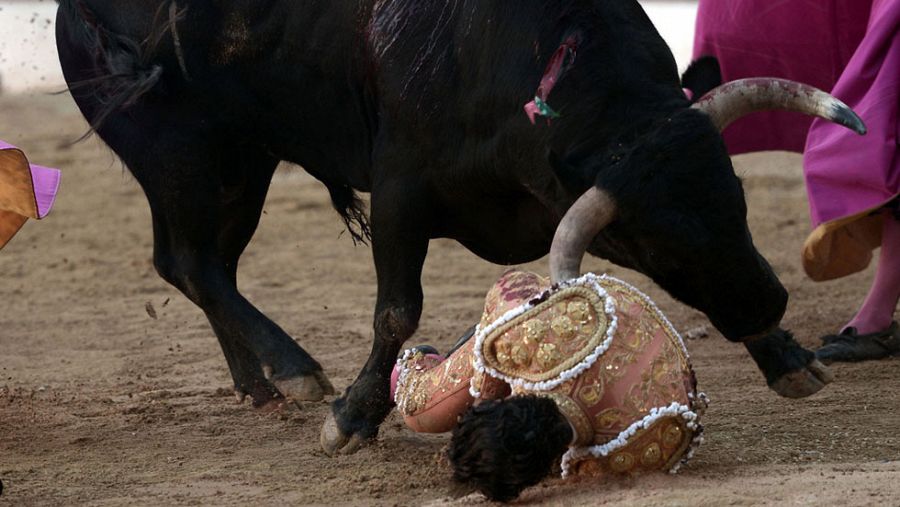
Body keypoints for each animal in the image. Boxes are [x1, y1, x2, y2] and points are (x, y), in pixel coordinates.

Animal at [54, 0, 856, 452]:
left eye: (736, 198)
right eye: (648, 240)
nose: (768, 304)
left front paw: (787, 357)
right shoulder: (401, 192)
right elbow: (396, 311)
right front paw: (352, 418)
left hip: (242, 162)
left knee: (199, 262)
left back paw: (259, 382)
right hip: (178, 151)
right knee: (189, 260)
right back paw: (295, 369)